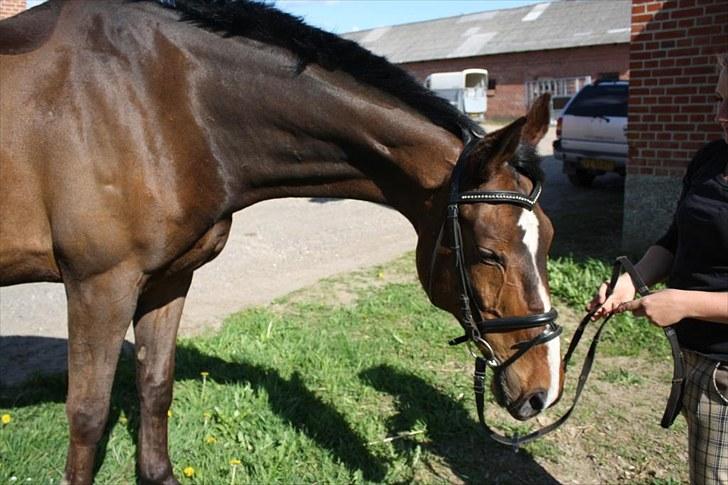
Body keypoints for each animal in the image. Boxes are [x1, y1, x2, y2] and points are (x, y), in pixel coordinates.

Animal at [0, 1, 556, 482]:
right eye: (488, 253)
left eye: (548, 241)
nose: (543, 390)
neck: (161, 103)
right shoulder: (99, 287)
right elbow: (87, 416)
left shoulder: (169, 279)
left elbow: (155, 386)